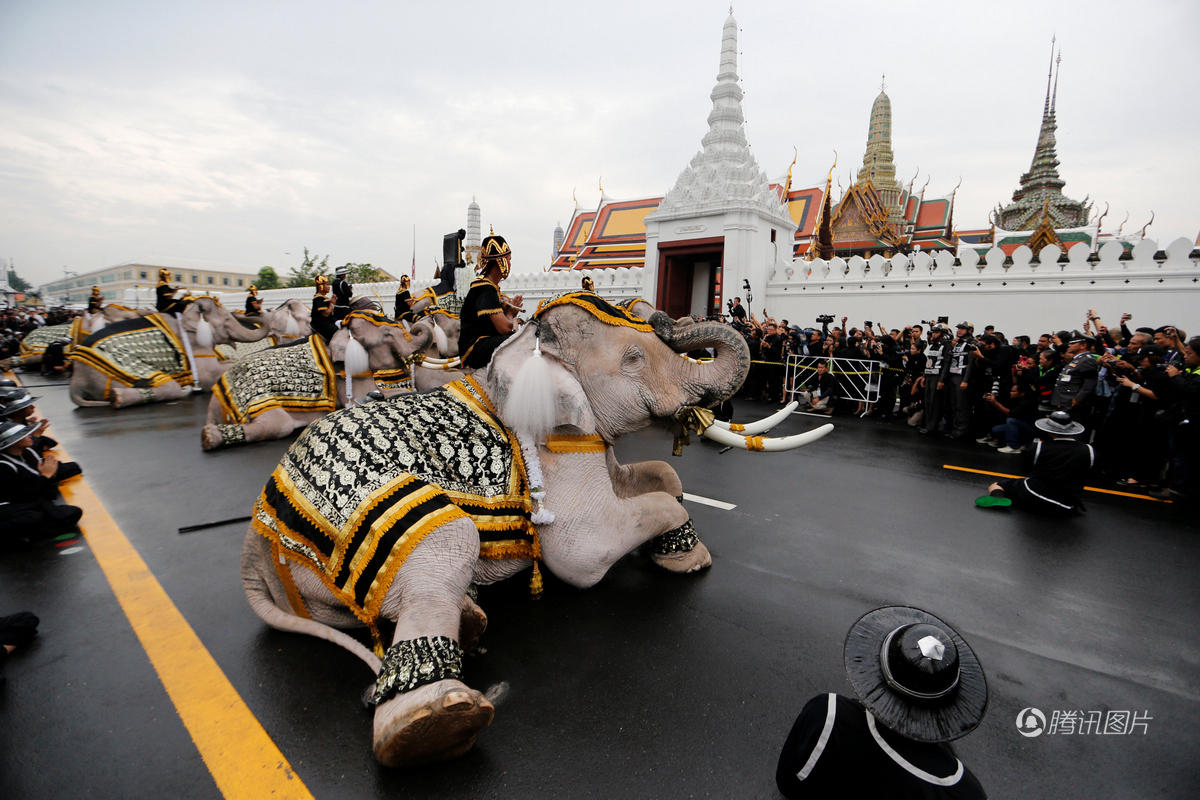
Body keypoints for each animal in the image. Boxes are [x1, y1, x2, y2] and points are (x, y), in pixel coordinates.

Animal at [68, 297, 272, 410]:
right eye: (228, 319)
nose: (258, 309)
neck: (186, 311)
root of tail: (76, 380)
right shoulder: (195, 343)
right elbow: (209, 376)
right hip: (118, 369)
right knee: (169, 387)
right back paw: (116, 398)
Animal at [238, 291, 830, 767]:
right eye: (633, 359)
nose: (665, 313)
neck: (524, 350)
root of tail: (253, 546)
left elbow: (659, 477)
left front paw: (671, 539)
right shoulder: (554, 448)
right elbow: (585, 552)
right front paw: (688, 559)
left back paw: (471, 617)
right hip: (365, 517)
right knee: (448, 539)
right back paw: (434, 722)